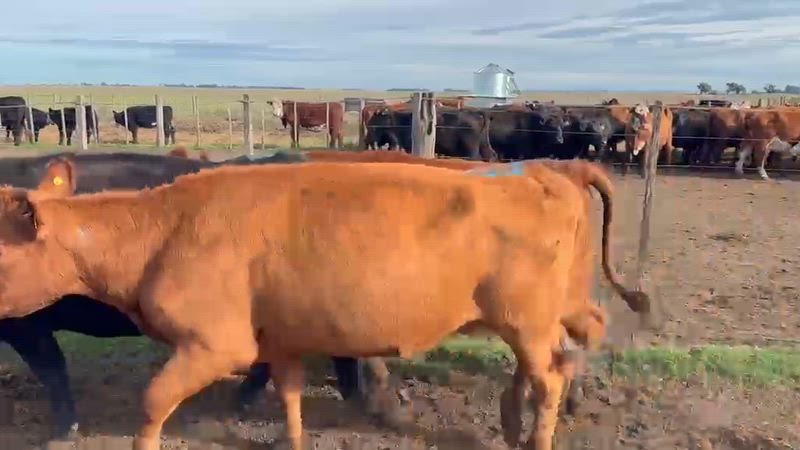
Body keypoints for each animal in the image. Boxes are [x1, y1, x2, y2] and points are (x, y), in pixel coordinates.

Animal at [0, 157, 648, 450]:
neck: (162, 231)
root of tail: (541, 170)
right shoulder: (282, 337)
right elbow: (289, 397)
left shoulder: (214, 344)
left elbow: (153, 399)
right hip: (529, 320)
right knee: (553, 360)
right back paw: (513, 424)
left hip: (529, 319)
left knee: (551, 375)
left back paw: (535, 434)